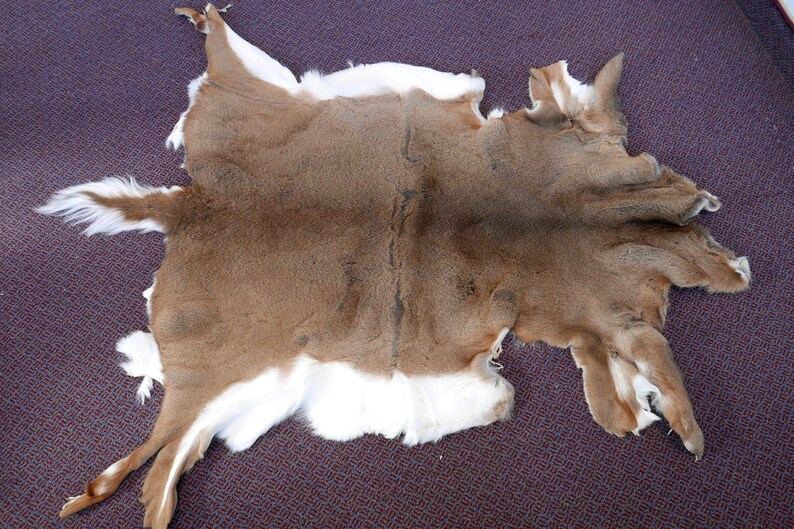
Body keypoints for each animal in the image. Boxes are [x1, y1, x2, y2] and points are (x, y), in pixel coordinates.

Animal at [38, 5, 751, 528]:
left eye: (662, 175)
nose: (712, 215)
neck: (533, 226)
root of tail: (191, 204)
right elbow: (530, 390)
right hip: (219, 377)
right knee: (159, 459)